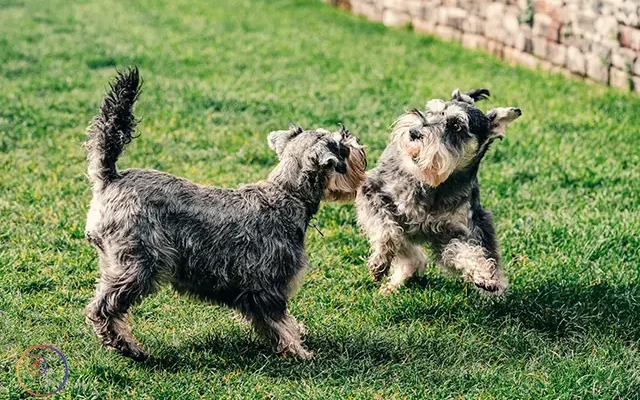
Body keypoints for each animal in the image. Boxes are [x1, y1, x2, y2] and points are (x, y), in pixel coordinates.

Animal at [84, 67, 364, 360]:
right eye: (340, 145)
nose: (354, 139)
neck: (287, 194)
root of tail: (110, 178)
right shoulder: (269, 286)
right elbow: (279, 321)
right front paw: (298, 351)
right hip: (139, 266)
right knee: (103, 308)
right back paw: (128, 346)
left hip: (115, 263)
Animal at [358, 89, 524, 296]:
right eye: (431, 112)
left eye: (456, 126)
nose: (414, 132)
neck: (435, 185)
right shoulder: (373, 193)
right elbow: (387, 230)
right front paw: (379, 262)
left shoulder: (456, 232)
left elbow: (464, 251)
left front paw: (484, 274)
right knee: (406, 249)